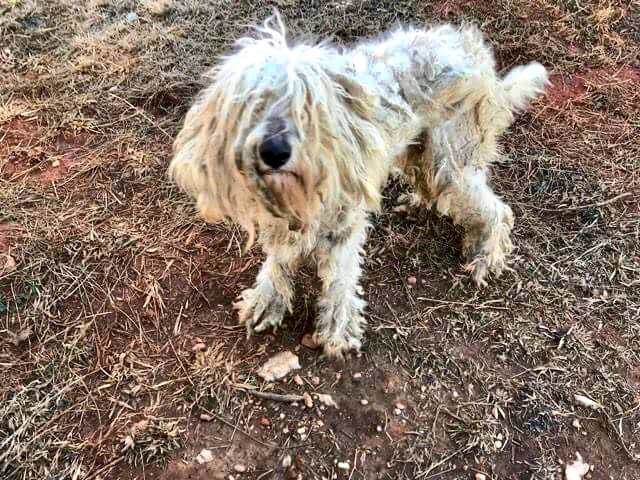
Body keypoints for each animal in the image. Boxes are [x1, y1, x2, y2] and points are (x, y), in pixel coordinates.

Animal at [170, 12, 552, 356]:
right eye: (254, 103)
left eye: (306, 107)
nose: (274, 151)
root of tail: (475, 52)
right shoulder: (284, 222)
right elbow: (279, 261)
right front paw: (269, 299)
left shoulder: (344, 223)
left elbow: (340, 278)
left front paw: (338, 329)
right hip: (423, 154)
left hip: (451, 163)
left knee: (497, 210)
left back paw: (486, 253)